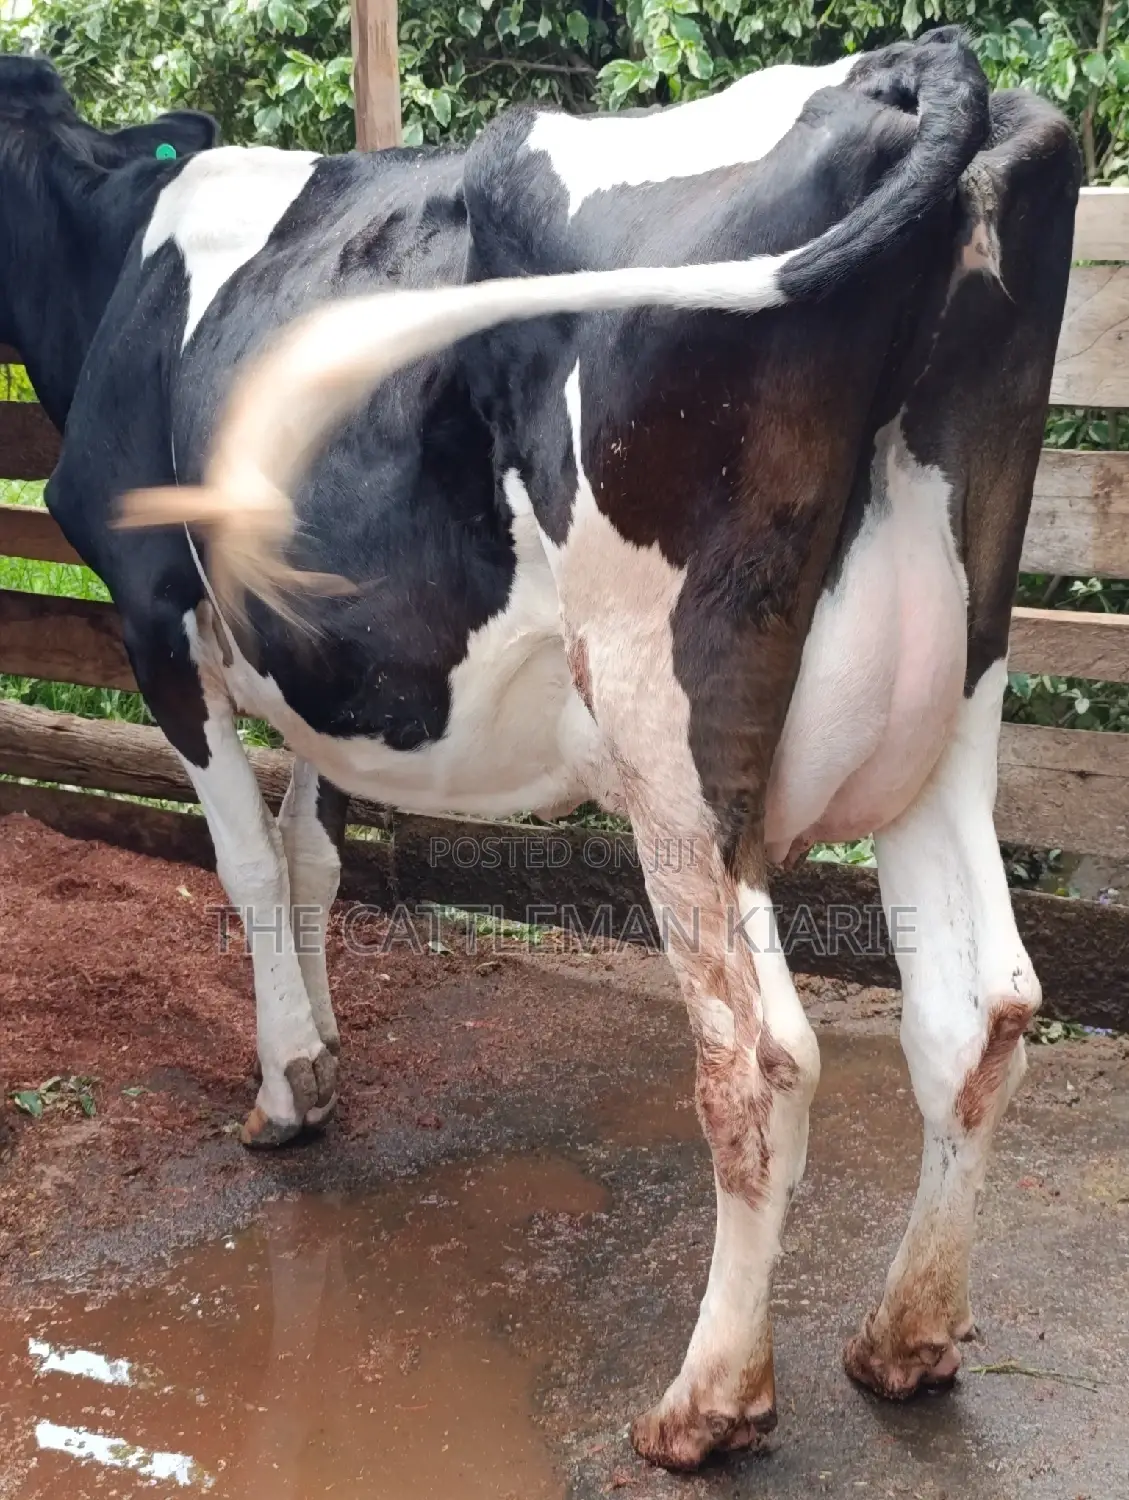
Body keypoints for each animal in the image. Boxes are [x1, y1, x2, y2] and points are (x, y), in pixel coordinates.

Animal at [2, 34, 1078, 1469]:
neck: (115, 247)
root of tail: (915, 66)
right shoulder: (329, 655)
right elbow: (310, 853)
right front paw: (327, 1052)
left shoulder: (154, 611)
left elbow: (247, 864)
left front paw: (286, 1091)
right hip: (955, 689)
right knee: (980, 1007)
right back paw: (902, 1341)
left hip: (669, 716)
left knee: (758, 1056)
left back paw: (705, 1402)